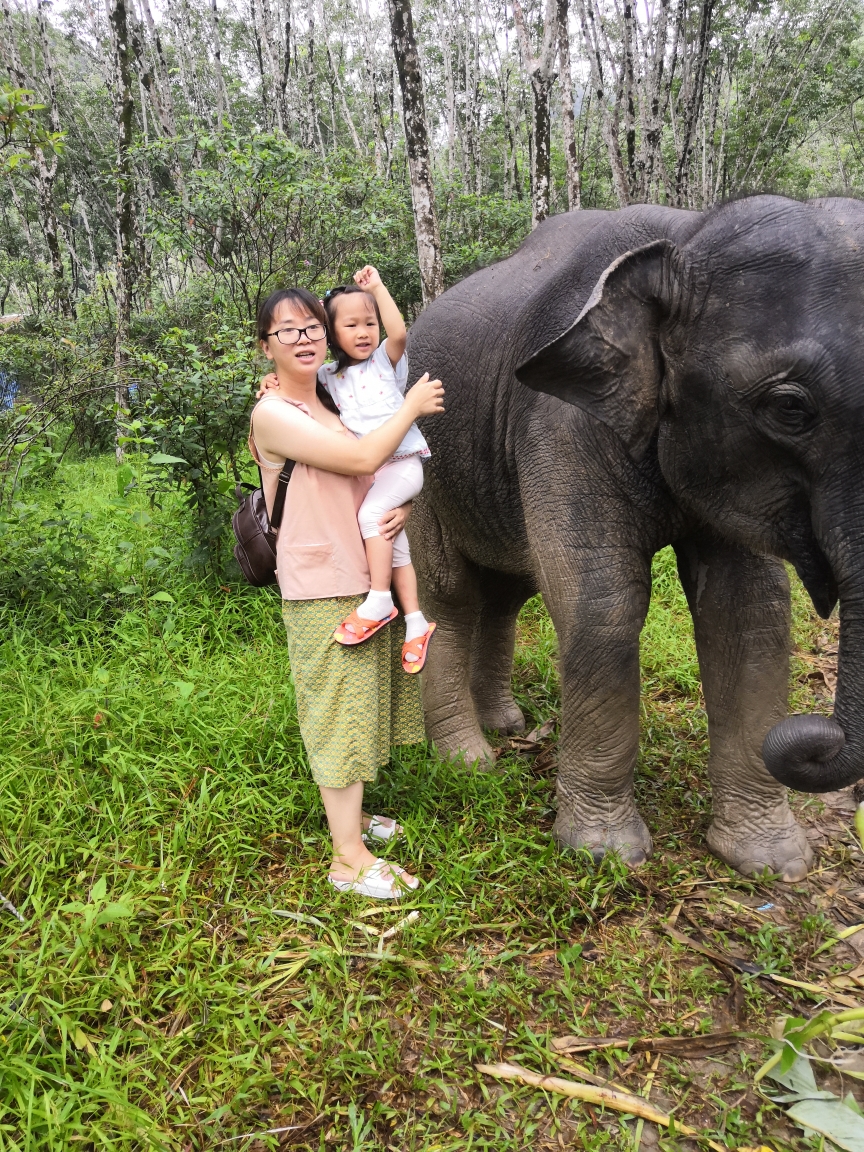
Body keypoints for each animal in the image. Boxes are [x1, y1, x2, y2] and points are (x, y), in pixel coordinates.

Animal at [405, 198, 864, 880]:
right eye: (789, 408)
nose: (814, 738)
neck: (683, 238)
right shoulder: (558, 423)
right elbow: (603, 604)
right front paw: (604, 855)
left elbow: (749, 609)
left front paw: (770, 863)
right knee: (452, 595)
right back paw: (469, 760)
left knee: (507, 593)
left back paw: (507, 724)